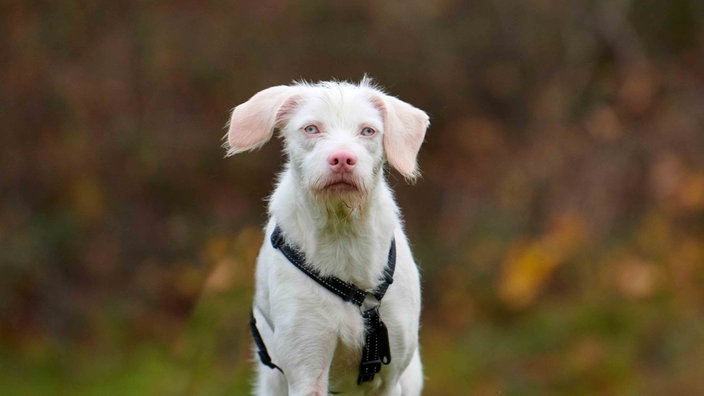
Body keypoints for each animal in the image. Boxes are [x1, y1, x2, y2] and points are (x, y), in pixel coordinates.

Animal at [226, 78, 428, 396]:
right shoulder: (307, 368)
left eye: (368, 131)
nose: (343, 159)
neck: (342, 233)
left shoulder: (389, 375)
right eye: (311, 129)